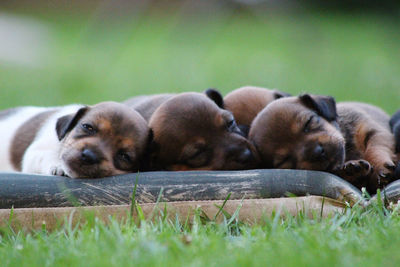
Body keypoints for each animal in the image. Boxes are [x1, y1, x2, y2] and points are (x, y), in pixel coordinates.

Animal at [0, 101, 149, 179]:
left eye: (124, 156)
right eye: (88, 127)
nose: (89, 156)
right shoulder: (36, 152)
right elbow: (46, 156)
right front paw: (58, 166)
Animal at [250, 94, 396, 193]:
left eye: (309, 122)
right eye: (285, 160)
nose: (317, 152)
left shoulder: (374, 131)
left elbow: (375, 149)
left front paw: (379, 169)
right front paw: (353, 172)